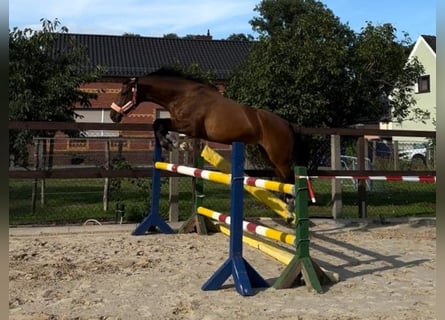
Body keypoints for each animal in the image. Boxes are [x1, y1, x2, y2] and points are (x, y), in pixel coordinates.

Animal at [108, 67, 308, 216]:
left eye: (124, 92)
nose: (112, 115)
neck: (183, 95)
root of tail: (287, 124)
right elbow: (158, 124)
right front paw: (169, 142)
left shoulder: (188, 126)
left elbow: (159, 123)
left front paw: (168, 143)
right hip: (268, 156)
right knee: (283, 180)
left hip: (280, 158)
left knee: (291, 179)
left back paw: (292, 209)